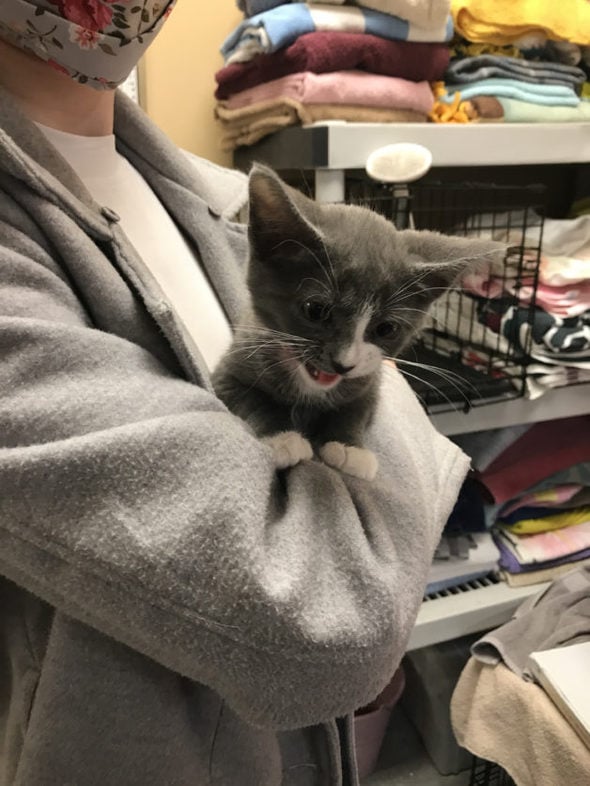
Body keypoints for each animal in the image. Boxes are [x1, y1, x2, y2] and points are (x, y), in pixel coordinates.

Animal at [213, 165, 504, 478]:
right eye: (315, 309)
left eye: (386, 329)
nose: (344, 364)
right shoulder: (233, 365)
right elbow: (250, 398)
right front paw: (282, 438)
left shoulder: (369, 382)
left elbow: (356, 409)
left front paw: (348, 447)